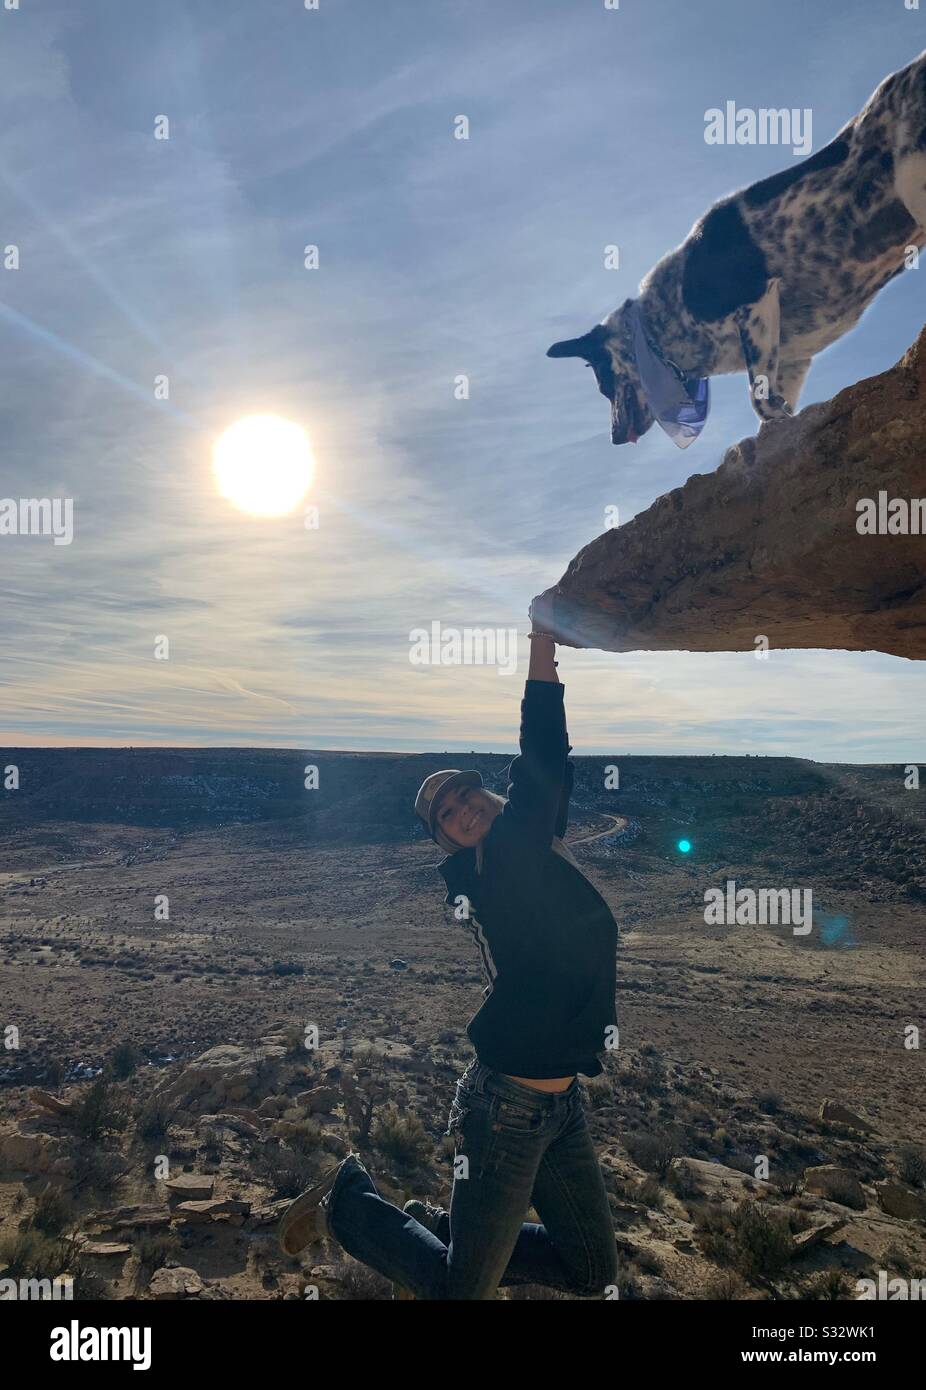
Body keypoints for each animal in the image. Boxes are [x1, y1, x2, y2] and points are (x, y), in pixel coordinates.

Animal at [547, 50, 923, 444]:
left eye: (604, 384)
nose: (616, 437)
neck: (661, 322)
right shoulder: (792, 359)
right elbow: (774, 408)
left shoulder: (755, 304)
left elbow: (757, 397)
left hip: (914, 185)